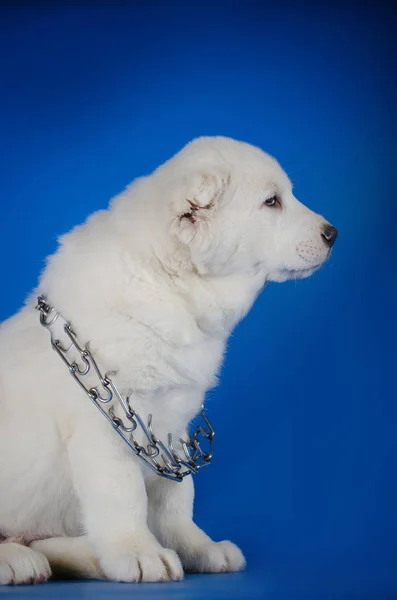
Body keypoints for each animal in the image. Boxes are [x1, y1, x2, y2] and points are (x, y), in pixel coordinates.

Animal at [0, 136, 336, 580]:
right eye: (271, 202)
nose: (333, 233)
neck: (170, 284)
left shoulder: (173, 428)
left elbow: (177, 499)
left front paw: (198, 547)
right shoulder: (105, 426)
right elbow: (124, 496)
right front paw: (138, 552)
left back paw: (78, 556)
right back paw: (19, 561)